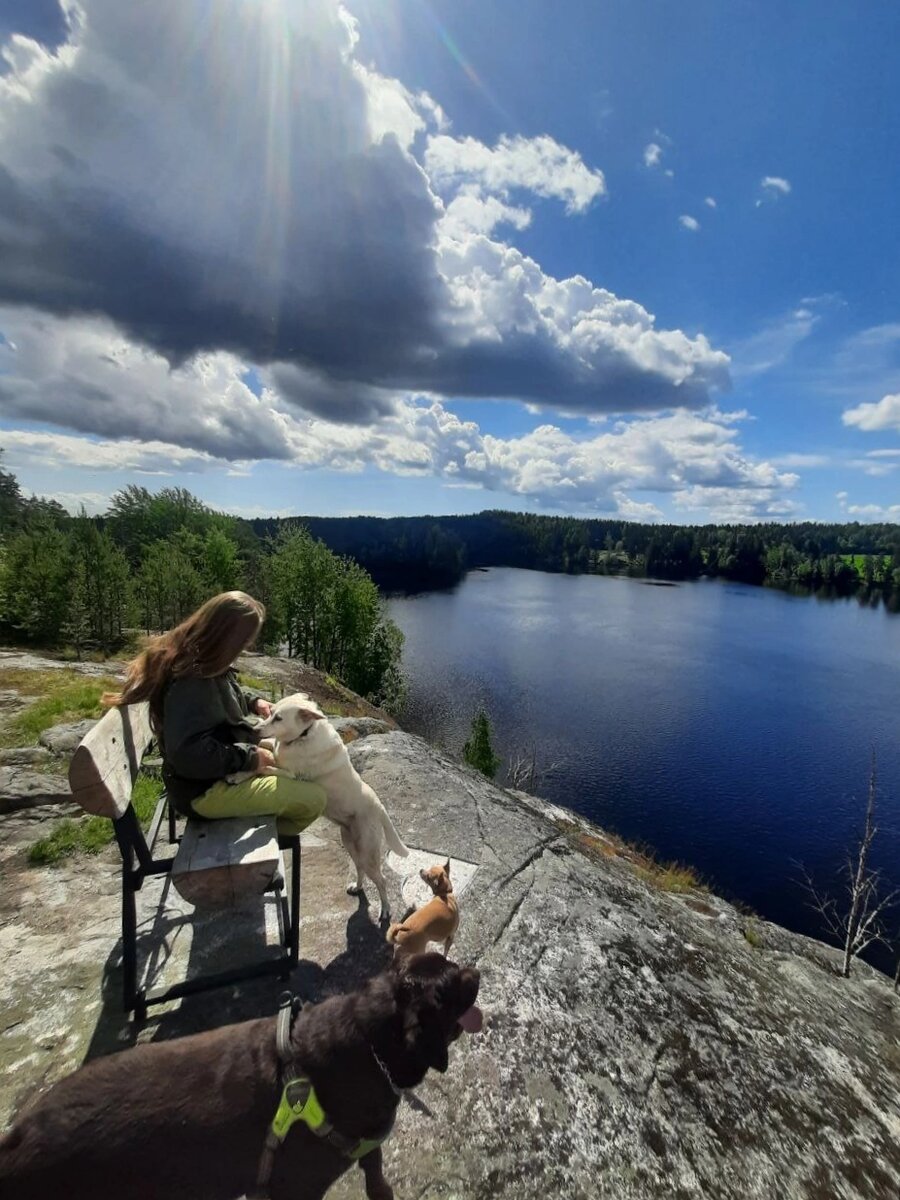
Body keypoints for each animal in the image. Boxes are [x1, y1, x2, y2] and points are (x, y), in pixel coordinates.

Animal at [0, 955, 482, 1200]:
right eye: (454, 983)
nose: (477, 970)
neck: (369, 1043)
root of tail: (17, 1135)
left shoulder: (368, 1143)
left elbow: (375, 1174)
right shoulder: (296, 1192)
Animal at [229, 696, 408, 916]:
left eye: (279, 718)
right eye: (269, 712)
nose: (254, 730)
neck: (303, 736)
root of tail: (380, 807)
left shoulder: (289, 775)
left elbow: (263, 768)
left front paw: (238, 775)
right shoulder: (275, 749)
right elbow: (266, 747)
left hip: (368, 852)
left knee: (381, 880)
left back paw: (385, 909)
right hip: (350, 843)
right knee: (360, 868)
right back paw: (357, 887)